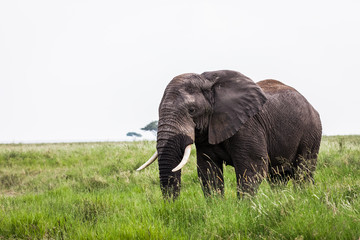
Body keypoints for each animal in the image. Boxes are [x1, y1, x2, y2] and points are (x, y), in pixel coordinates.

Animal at [136, 69, 322, 199]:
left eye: (192, 110)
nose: (172, 206)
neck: (209, 82)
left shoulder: (247, 124)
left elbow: (252, 167)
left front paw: (244, 211)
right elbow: (208, 170)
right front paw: (216, 208)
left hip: (311, 133)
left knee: (303, 171)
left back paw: (303, 198)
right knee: (277, 177)